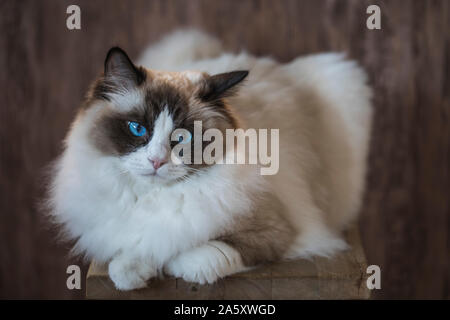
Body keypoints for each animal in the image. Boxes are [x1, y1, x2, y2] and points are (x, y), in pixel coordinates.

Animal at [47, 29, 372, 290]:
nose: (156, 162)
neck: (155, 197)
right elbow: (132, 251)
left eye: (182, 138)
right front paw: (131, 272)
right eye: (137, 129)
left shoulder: (276, 232)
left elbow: (195, 255)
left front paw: (170, 263)